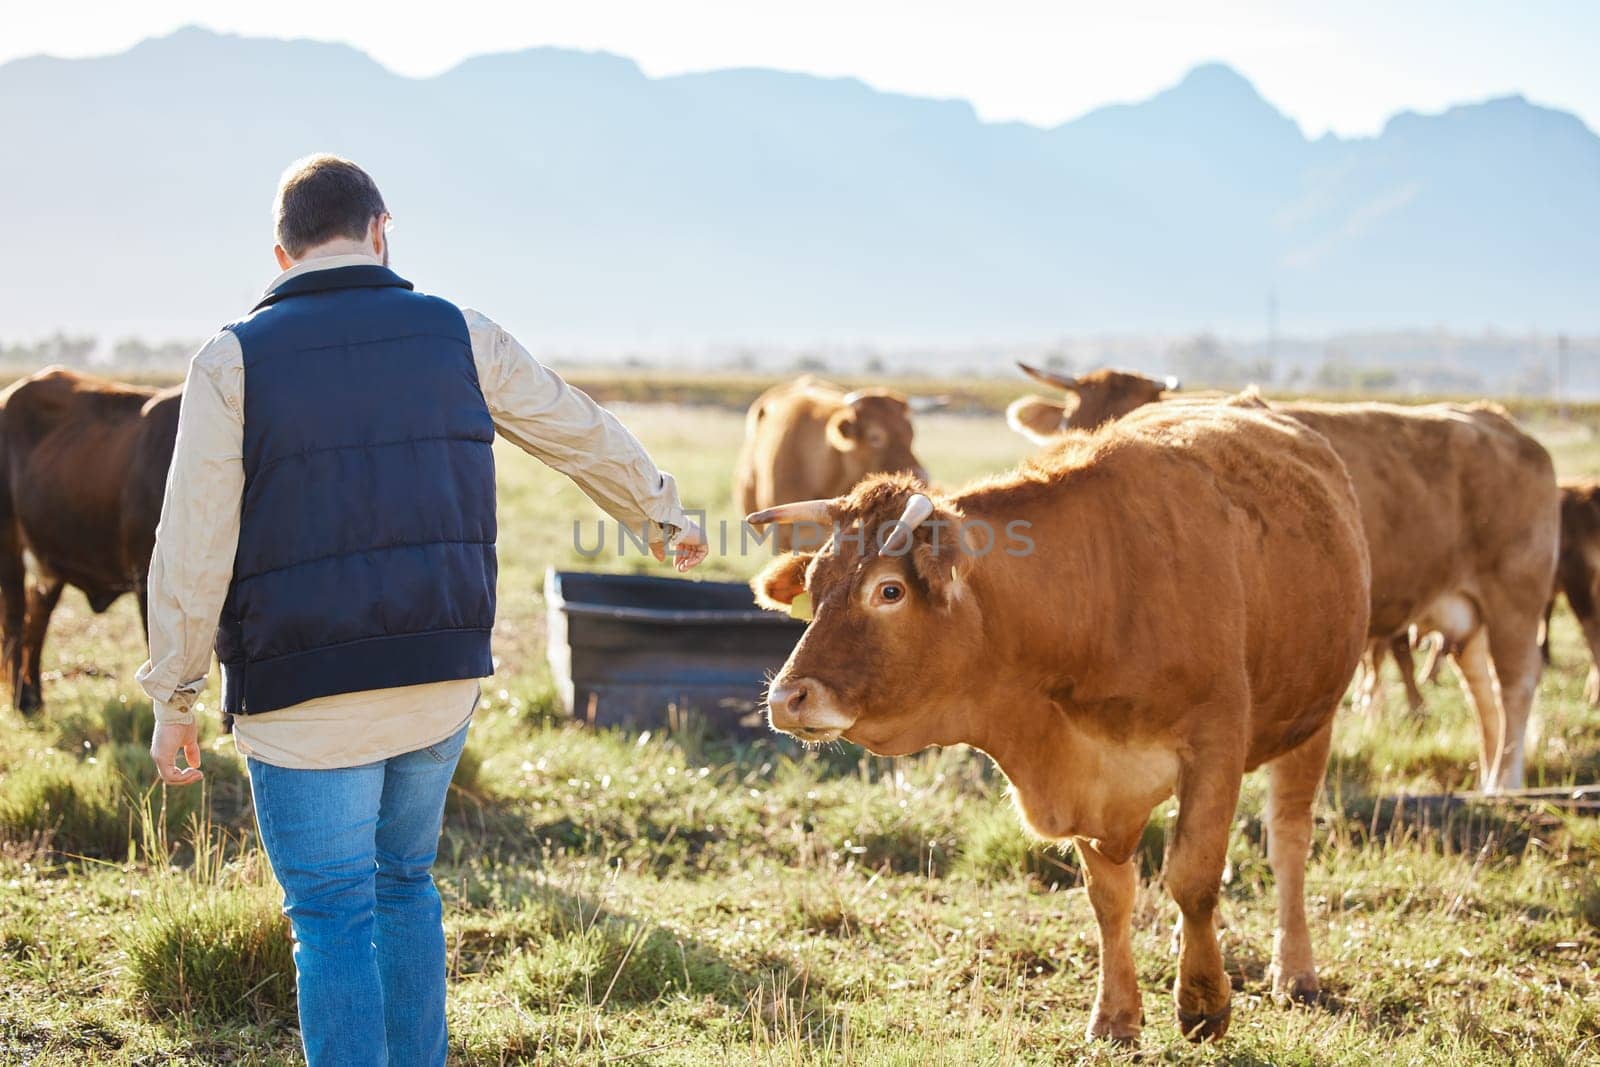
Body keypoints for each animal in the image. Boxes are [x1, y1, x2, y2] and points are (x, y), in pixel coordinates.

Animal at [0, 371, 180, 713]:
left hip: (50, 559)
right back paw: (21, 699)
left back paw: (33, 699)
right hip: (10, 549)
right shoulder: (145, 578)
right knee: (15, 620)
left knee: (37, 616)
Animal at [745, 395, 1363, 1043]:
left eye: (889, 590)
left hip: (1313, 720)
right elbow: (1110, 897)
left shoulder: (1215, 744)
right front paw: (1116, 1014)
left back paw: (1295, 970)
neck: (1103, 596)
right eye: (815, 586)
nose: (787, 698)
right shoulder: (1088, 781)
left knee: (1289, 838)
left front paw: (1202, 1000)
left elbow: (1193, 876)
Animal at [1004, 367, 1555, 793]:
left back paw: (1506, 782)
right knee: (1482, 690)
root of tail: (1496, 418)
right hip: (1466, 610)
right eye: (1068, 421)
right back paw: (1487, 776)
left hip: (1516, 599)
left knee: (1516, 685)